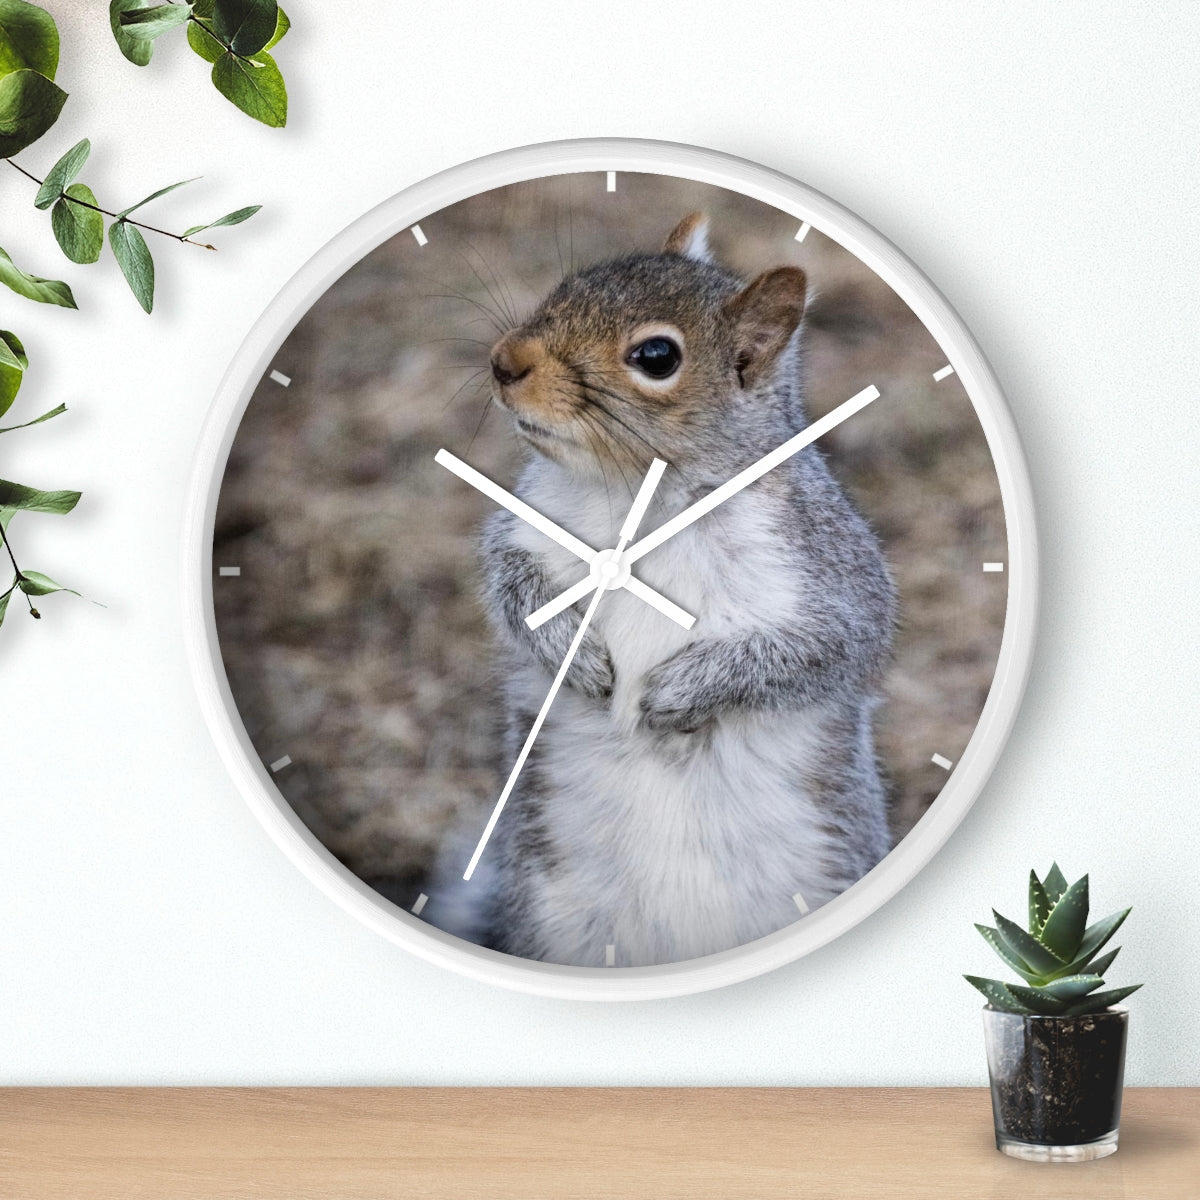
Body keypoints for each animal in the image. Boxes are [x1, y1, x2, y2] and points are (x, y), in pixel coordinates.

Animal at [438, 213, 897, 968]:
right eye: (568, 284)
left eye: (656, 357)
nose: (504, 363)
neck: (640, 493)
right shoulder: (526, 528)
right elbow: (510, 585)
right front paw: (575, 652)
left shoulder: (830, 571)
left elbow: (823, 649)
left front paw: (679, 692)